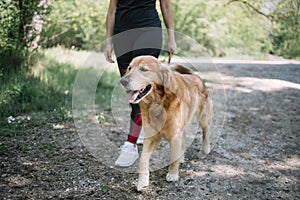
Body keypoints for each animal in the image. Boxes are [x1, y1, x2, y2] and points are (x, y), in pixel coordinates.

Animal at [120, 54, 213, 191]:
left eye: (144, 69)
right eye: (129, 68)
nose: (122, 81)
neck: (157, 102)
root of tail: (196, 77)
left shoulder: (175, 135)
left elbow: (173, 157)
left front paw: (173, 174)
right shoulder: (152, 136)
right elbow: (143, 159)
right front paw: (142, 181)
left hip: (203, 117)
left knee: (206, 132)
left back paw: (204, 150)